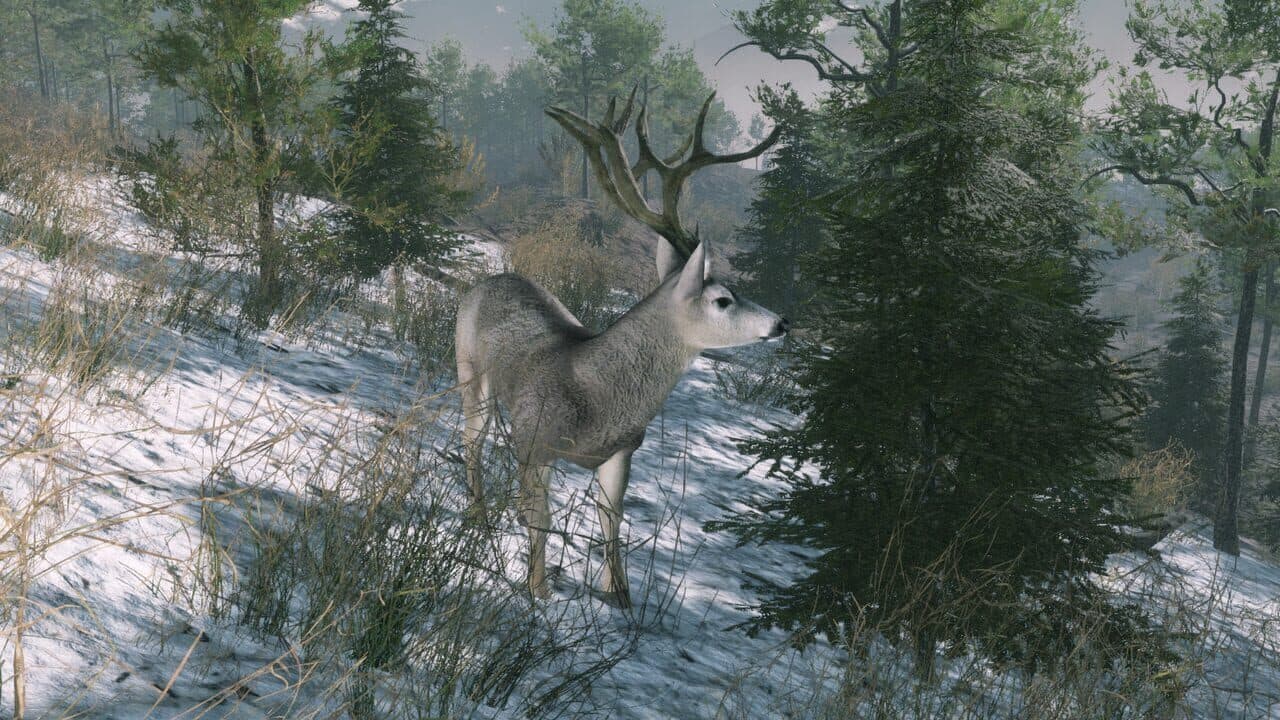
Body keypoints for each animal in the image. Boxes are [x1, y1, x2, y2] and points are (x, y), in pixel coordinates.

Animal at [455, 89, 786, 608]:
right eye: (723, 299)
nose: (781, 322)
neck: (598, 399)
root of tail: (492, 278)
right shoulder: (535, 439)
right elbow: (541, 519)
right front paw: (538, 591)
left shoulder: (622, 453)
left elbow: (613, 519)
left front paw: (622, 598)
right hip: (469, 371)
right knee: (472, 439)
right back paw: (479, 515)